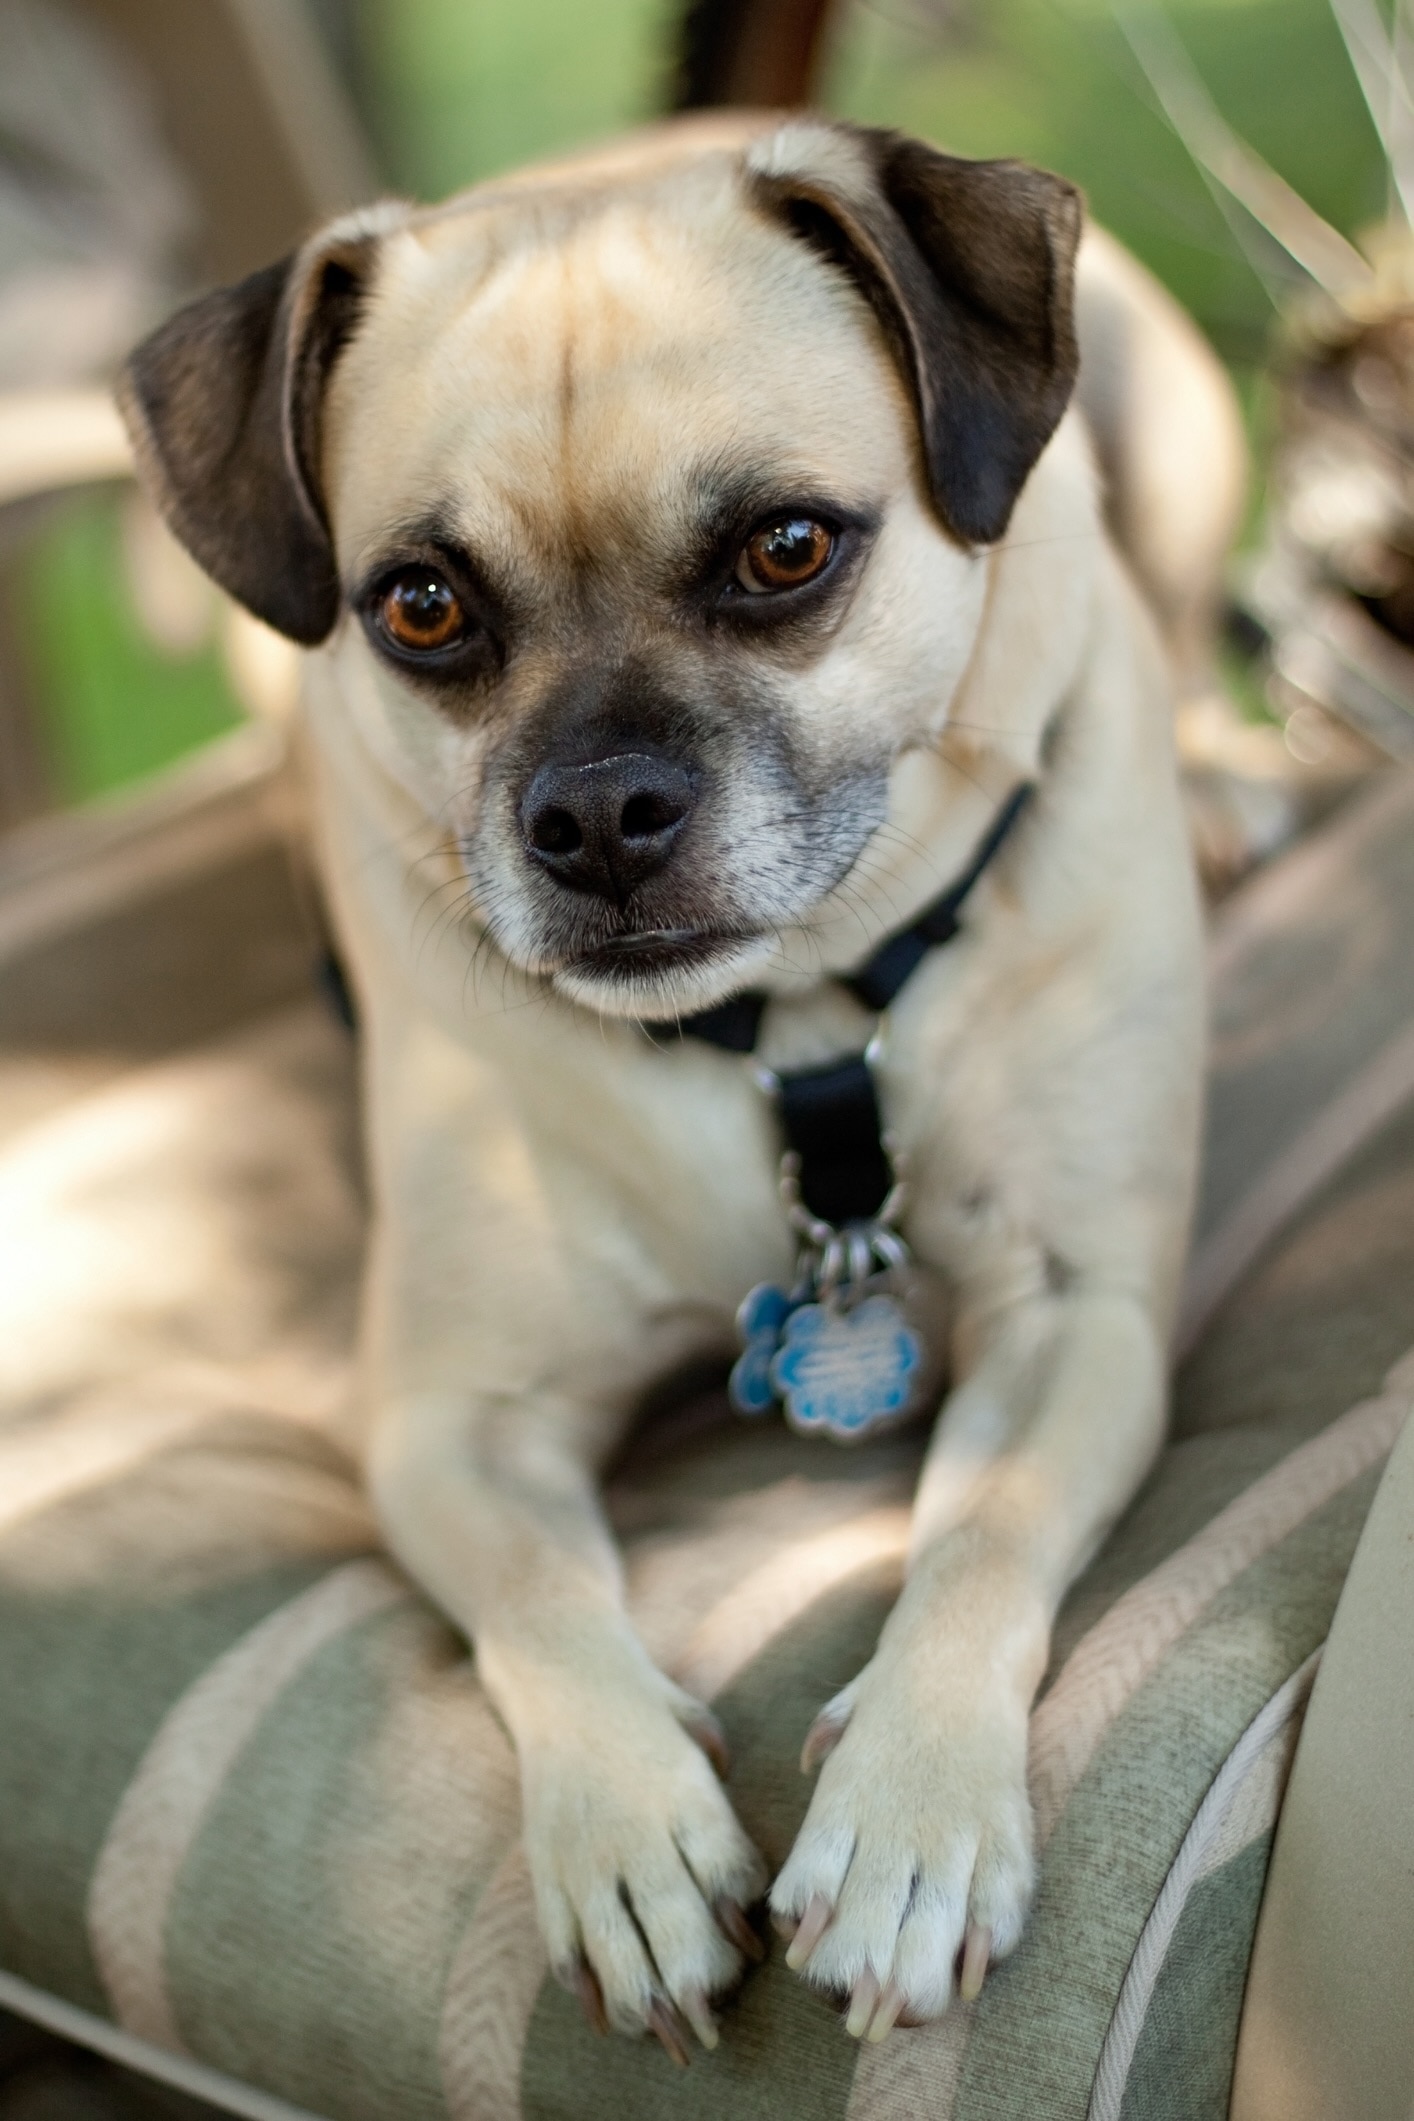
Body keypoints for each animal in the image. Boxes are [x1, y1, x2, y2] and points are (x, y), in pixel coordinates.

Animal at [118, 111, 1238, 2053]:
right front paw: (626, 1828)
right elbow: (540, 1604)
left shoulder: (1073, 1311)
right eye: (419, 606)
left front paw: (912, 1815)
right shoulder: (453, 1426)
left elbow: (983, 1536)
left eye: (784, 550)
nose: (594, 814)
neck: (780, 1026)